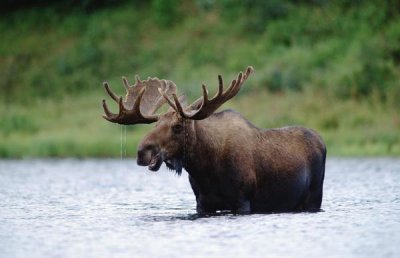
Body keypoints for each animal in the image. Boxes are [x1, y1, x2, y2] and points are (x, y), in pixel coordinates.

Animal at [101, 66, 326, 214]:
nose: (142, 152)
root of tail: (322, 141)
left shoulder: (243, 200)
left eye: (178, 126)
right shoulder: (202, 202)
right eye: (154, 125)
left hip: (314, 196)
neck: (205, 168)